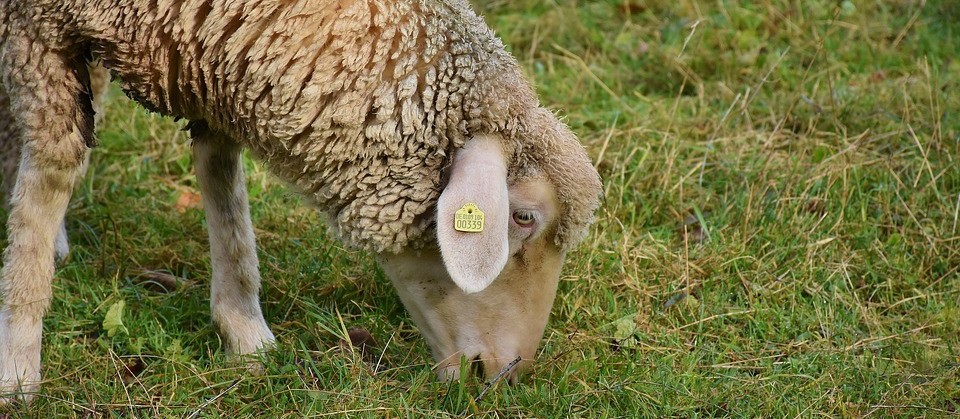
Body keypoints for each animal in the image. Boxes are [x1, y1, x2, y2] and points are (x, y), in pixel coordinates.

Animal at [0, 0, 600, 404]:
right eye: (522, 217)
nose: (504, 373)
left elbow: (221, 178)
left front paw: (245, 331)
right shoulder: (41, 26)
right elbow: (50, 173)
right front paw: (18, 364)